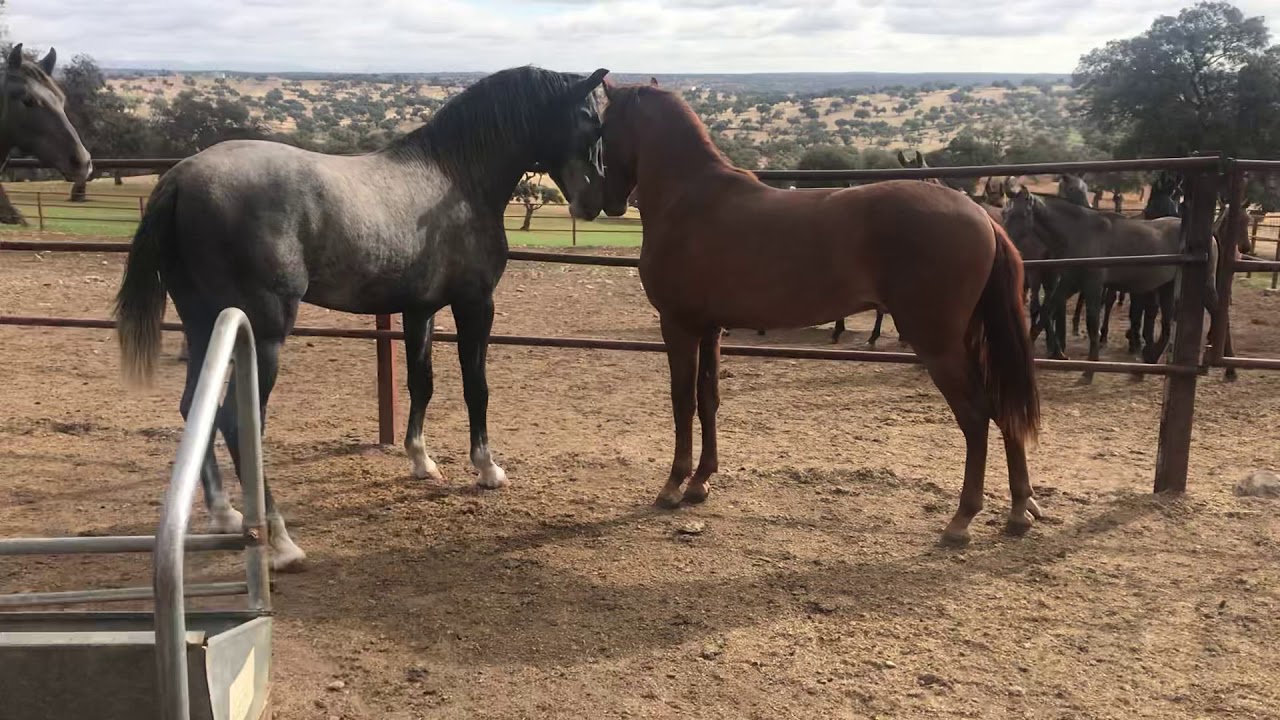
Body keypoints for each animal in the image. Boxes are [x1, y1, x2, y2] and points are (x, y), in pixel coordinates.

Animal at [115, 66, 610, 570]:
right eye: (593, 125)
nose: (596, 201)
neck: (456, 178)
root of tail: (181, 177)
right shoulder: (475, 304)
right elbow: (477, 387)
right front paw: (487, 468)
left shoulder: (418, 310)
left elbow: (421, 383)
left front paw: (421, 461)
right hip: (262, 333)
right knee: (238, 421)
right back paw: (280, 541)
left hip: (203, 324)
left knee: (196, 406)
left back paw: (223, 513)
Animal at [600, 80, 1043, 545]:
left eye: (603, 127)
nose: (609, 202)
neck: (690, 198)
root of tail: (981, 215)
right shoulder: (710, 328)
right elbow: (708, 399)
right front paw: (700, 482)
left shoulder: (679, 325)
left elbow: (682, 400)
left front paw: (672, 485)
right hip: (972, 338)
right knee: (1002, 407)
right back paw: (1019, 509)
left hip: (939, 344)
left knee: (975, 417)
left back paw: (962, 518)